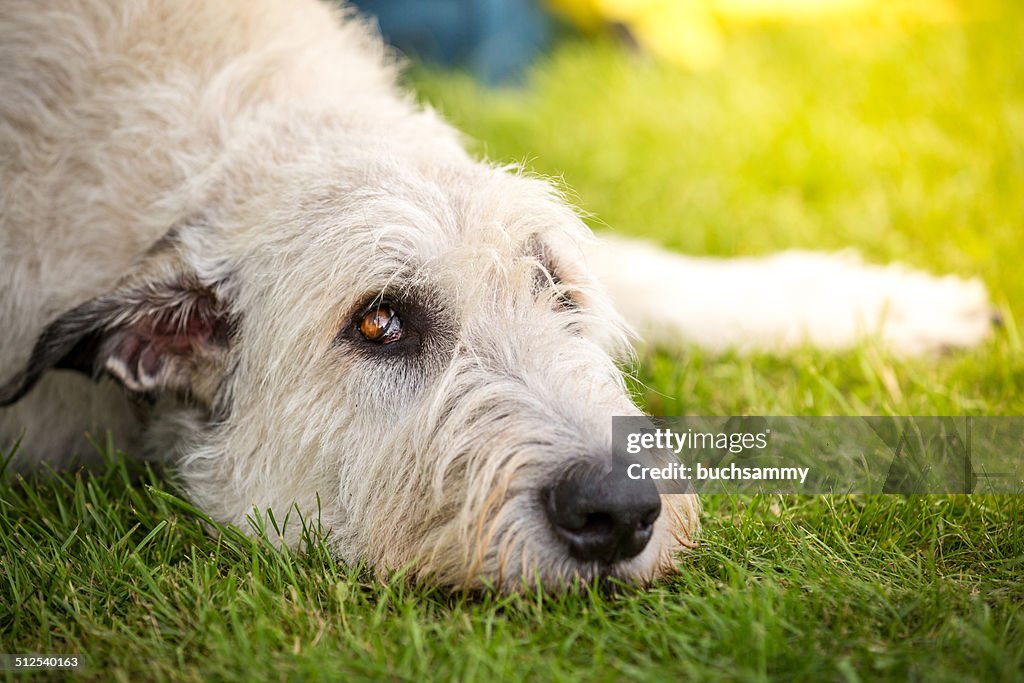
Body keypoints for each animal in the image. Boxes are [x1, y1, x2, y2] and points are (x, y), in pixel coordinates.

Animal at [0, 0, 991, 589]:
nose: (619, 510)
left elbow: (657, 275)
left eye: (555, 289)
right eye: (381, 322)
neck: (231, 154)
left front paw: (886, 304)